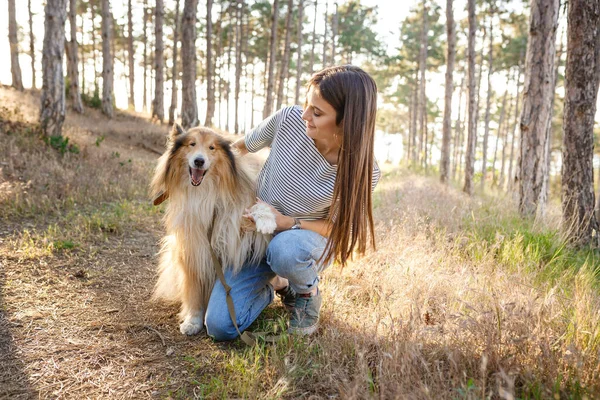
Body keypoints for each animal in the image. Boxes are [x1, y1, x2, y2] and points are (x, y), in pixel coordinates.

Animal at [151, 124, 276, 334]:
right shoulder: (192, 248)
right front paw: (193, 321)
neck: (204, 193)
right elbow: (193, 290)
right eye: (192, 144)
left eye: (212, 148)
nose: (199, 161)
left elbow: (255, 209)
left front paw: (267, 220)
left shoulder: (236, 227)